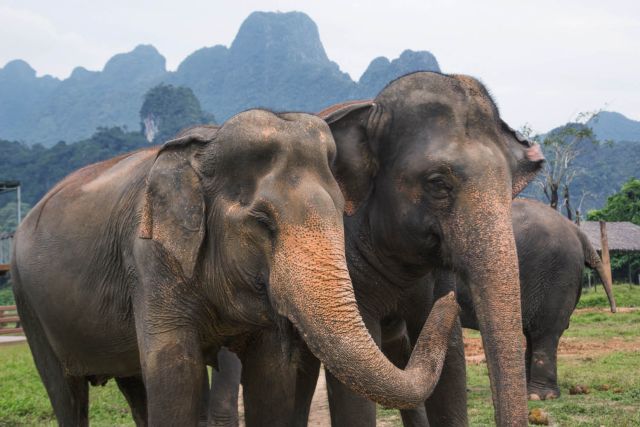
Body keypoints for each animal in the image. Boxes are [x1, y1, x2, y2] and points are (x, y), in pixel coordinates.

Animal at [10, 109, 461, 427]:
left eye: (339, 210)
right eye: (262, 222)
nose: (451, 297)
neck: (204, 145)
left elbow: (271, 379)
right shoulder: (150, 261)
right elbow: (176, 377)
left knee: (132, 386)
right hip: (26, 302)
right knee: (66, 394)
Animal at [457, 198, 617, 401]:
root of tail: (575, 229)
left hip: (555, 274)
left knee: (544, 330)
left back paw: (539, 396)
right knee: (532, 332)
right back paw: (527, 392)